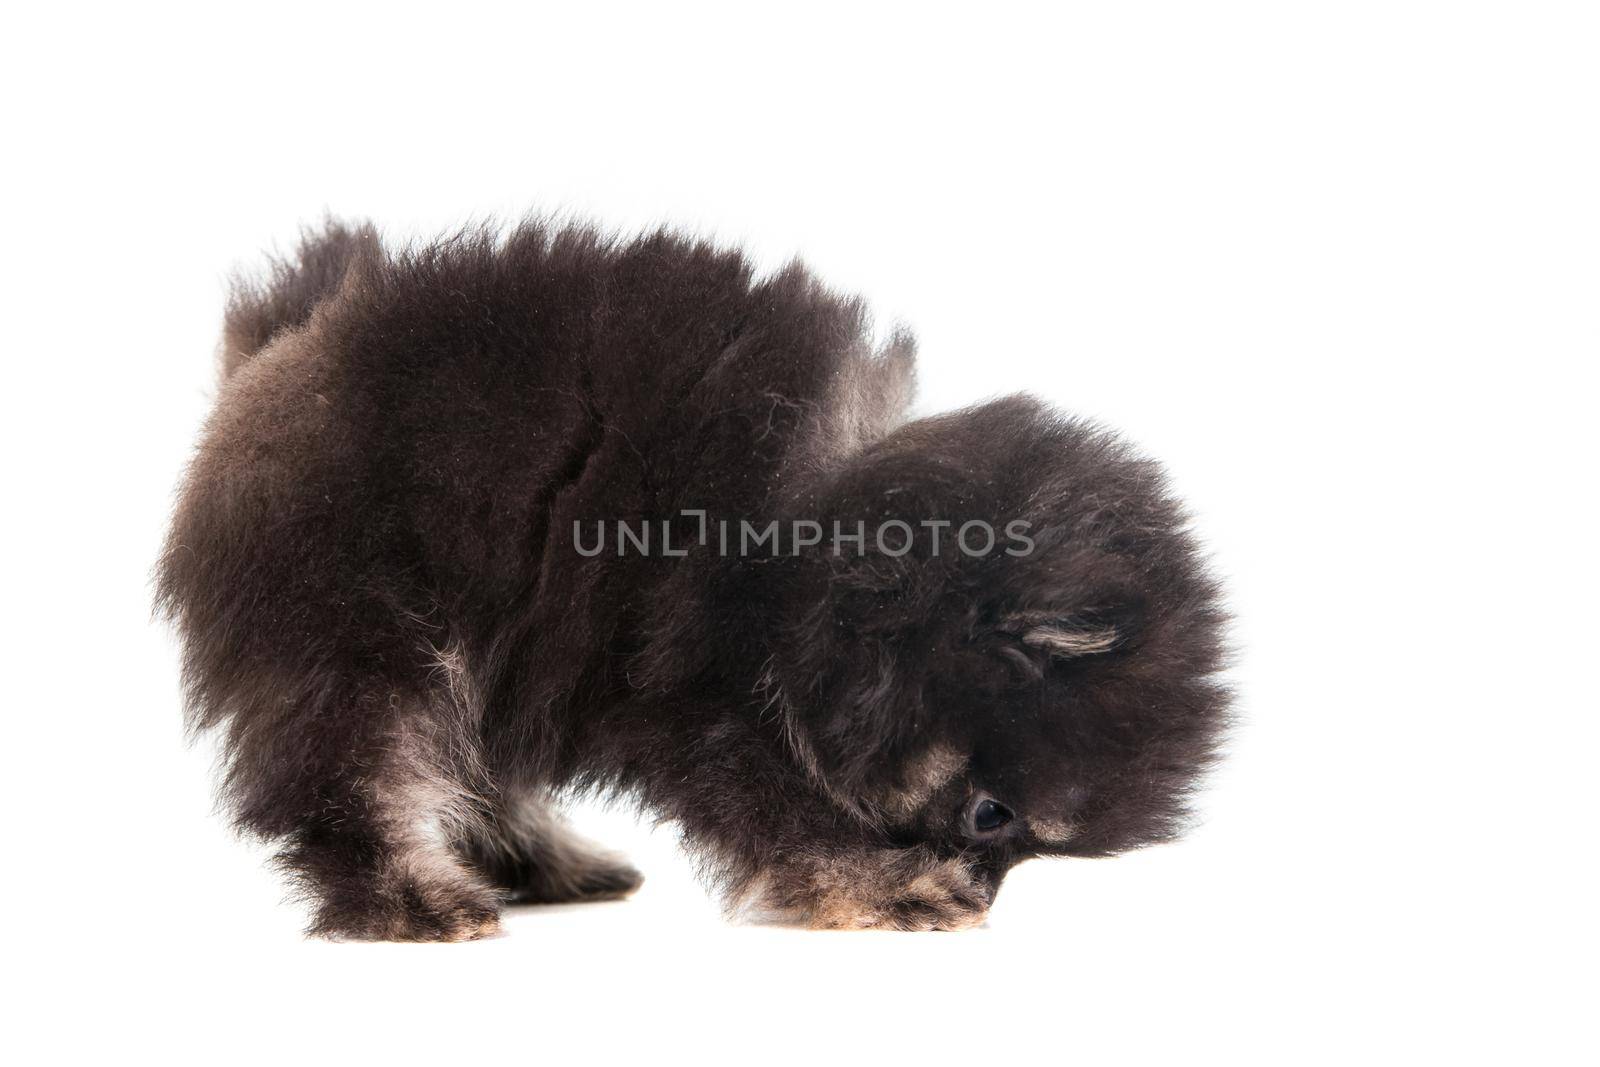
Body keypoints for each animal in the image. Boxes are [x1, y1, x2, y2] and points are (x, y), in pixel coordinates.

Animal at [156, 220, 1228, 940]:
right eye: (991, 815)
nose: (988, 894)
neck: (831, 563)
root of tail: (283, 348)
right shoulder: (701, 694)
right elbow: (780, 811)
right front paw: (883, 886)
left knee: (470, 764)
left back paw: (544, 861)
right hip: (360, 624)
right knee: (354, 770)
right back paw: (411, 898)